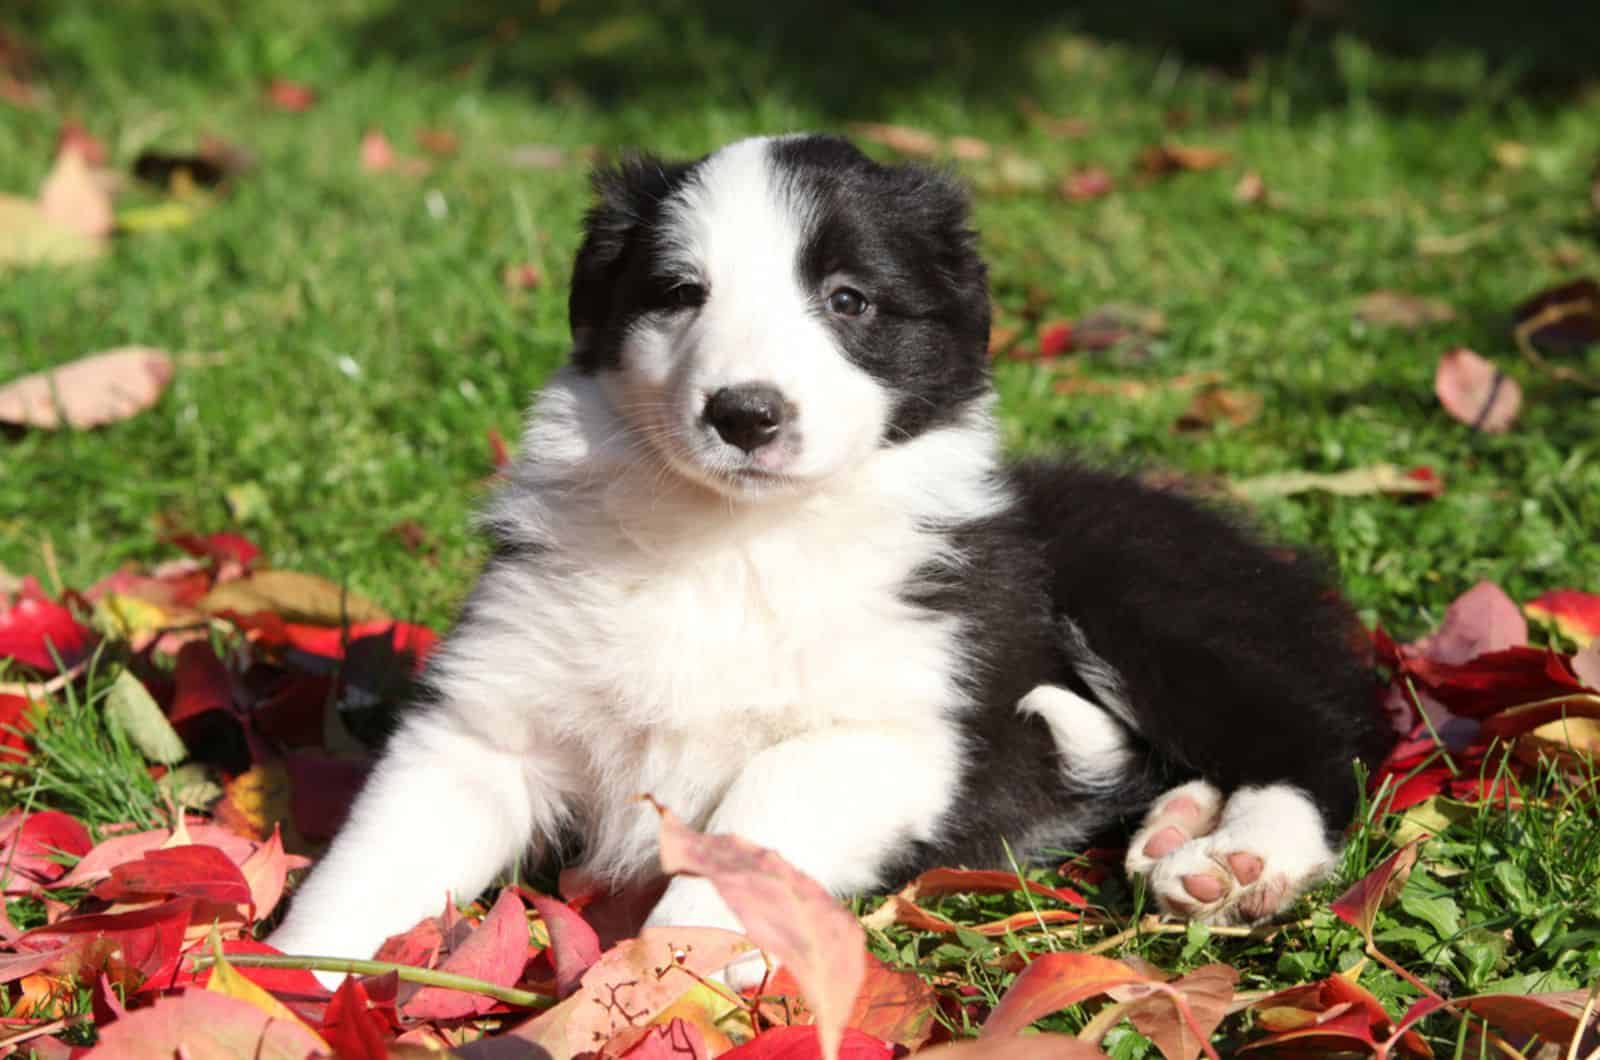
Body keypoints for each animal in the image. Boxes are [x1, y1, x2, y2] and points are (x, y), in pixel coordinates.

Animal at [268, 135, 1395, 986]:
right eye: (678, 294)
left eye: (850, 300)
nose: (745, 413)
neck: (731, 543)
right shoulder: (483, 726)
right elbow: (371, 862)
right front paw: (286, 990)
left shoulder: (885, 734)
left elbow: (749, 827)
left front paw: (668, 970)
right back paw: (1175, 827)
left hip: (1147, 599)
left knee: (1317, 741)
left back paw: (1241, 857)